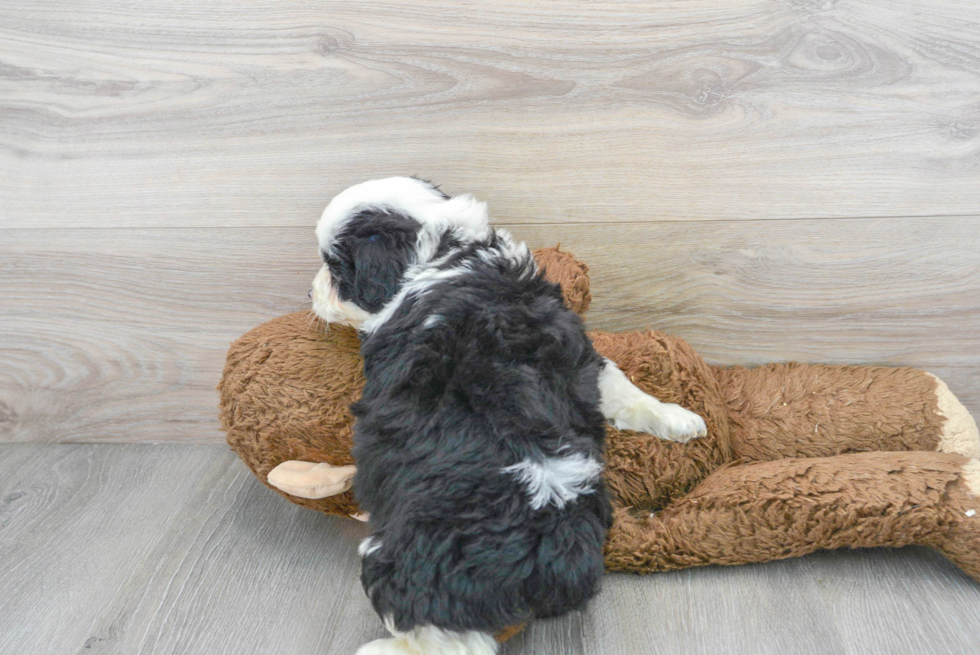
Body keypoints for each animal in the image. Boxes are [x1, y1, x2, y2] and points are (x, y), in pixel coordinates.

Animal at [312, 176, 704, 655]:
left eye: (336, 270)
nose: (309, 294)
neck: (447, 253)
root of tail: (549, 525)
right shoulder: (579, 356)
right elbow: (618, 383)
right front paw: (680, 420)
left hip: (397, 562)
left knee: (452, 640)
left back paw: (379, 648)